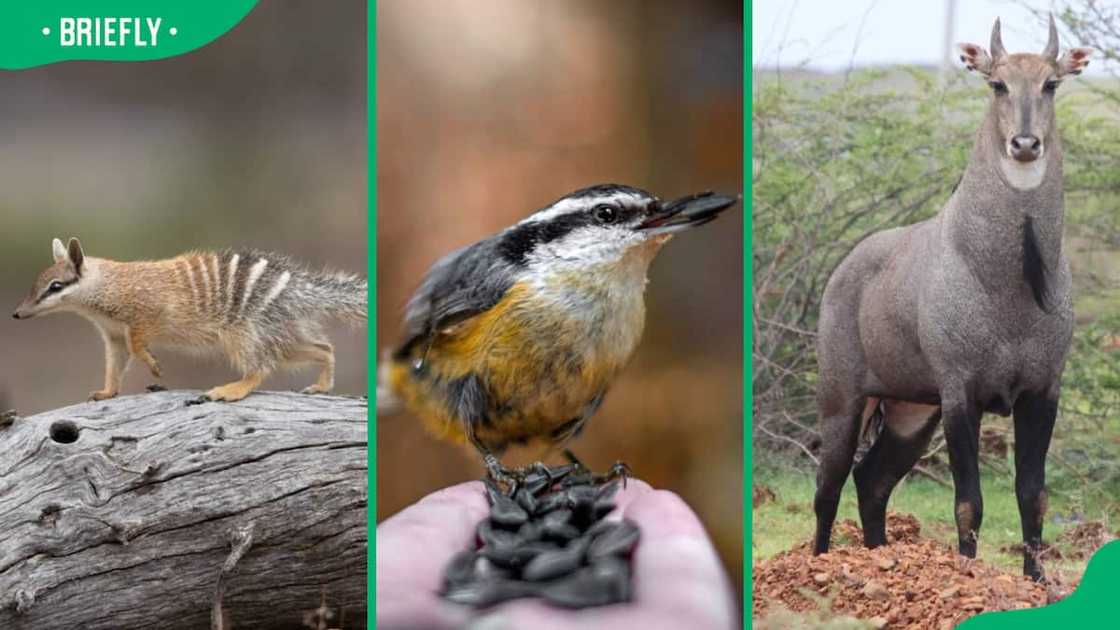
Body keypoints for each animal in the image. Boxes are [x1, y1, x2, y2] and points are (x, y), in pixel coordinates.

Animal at [815, 18, 1093, 578]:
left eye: (1051, 84)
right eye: (997, 84)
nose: (1025, 143)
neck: (1012, 285)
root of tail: (847, 267)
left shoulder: (1042, 391)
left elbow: (1033, 495)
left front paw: (1035, 581)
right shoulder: (961, 392)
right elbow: (970, 502)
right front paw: (967, 574)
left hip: (910, 413)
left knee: (871, 481)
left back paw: (880, 557)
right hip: (844, 401)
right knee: (828, 486)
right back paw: (817, 565)